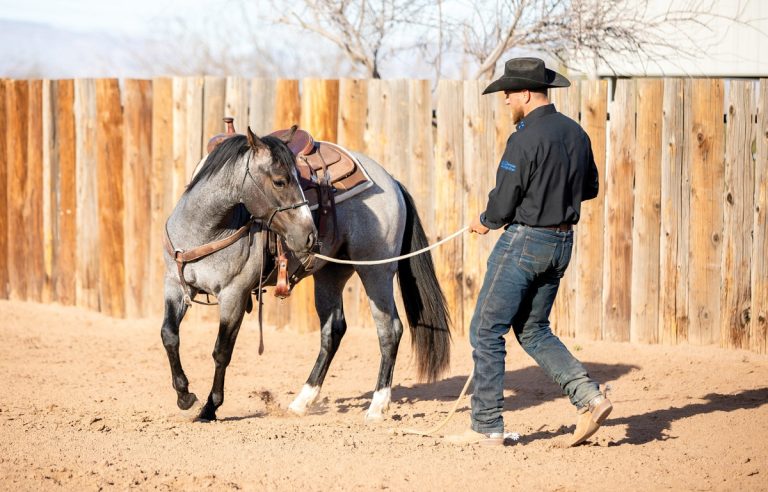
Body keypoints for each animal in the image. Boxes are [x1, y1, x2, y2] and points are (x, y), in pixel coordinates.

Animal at [161, 128, 451, 422]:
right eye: (279, 181)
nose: (310, 235)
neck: (207, 228)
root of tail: (391, 181)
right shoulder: (175, 286)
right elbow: (169, 335)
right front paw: (185, 396)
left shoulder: (234, 294)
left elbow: (221, 350)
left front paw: (210, 407)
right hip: (331, 275)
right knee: (332, 331)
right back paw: (302, 401)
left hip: (376, 271)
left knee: (389, 330)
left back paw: (377, 406)